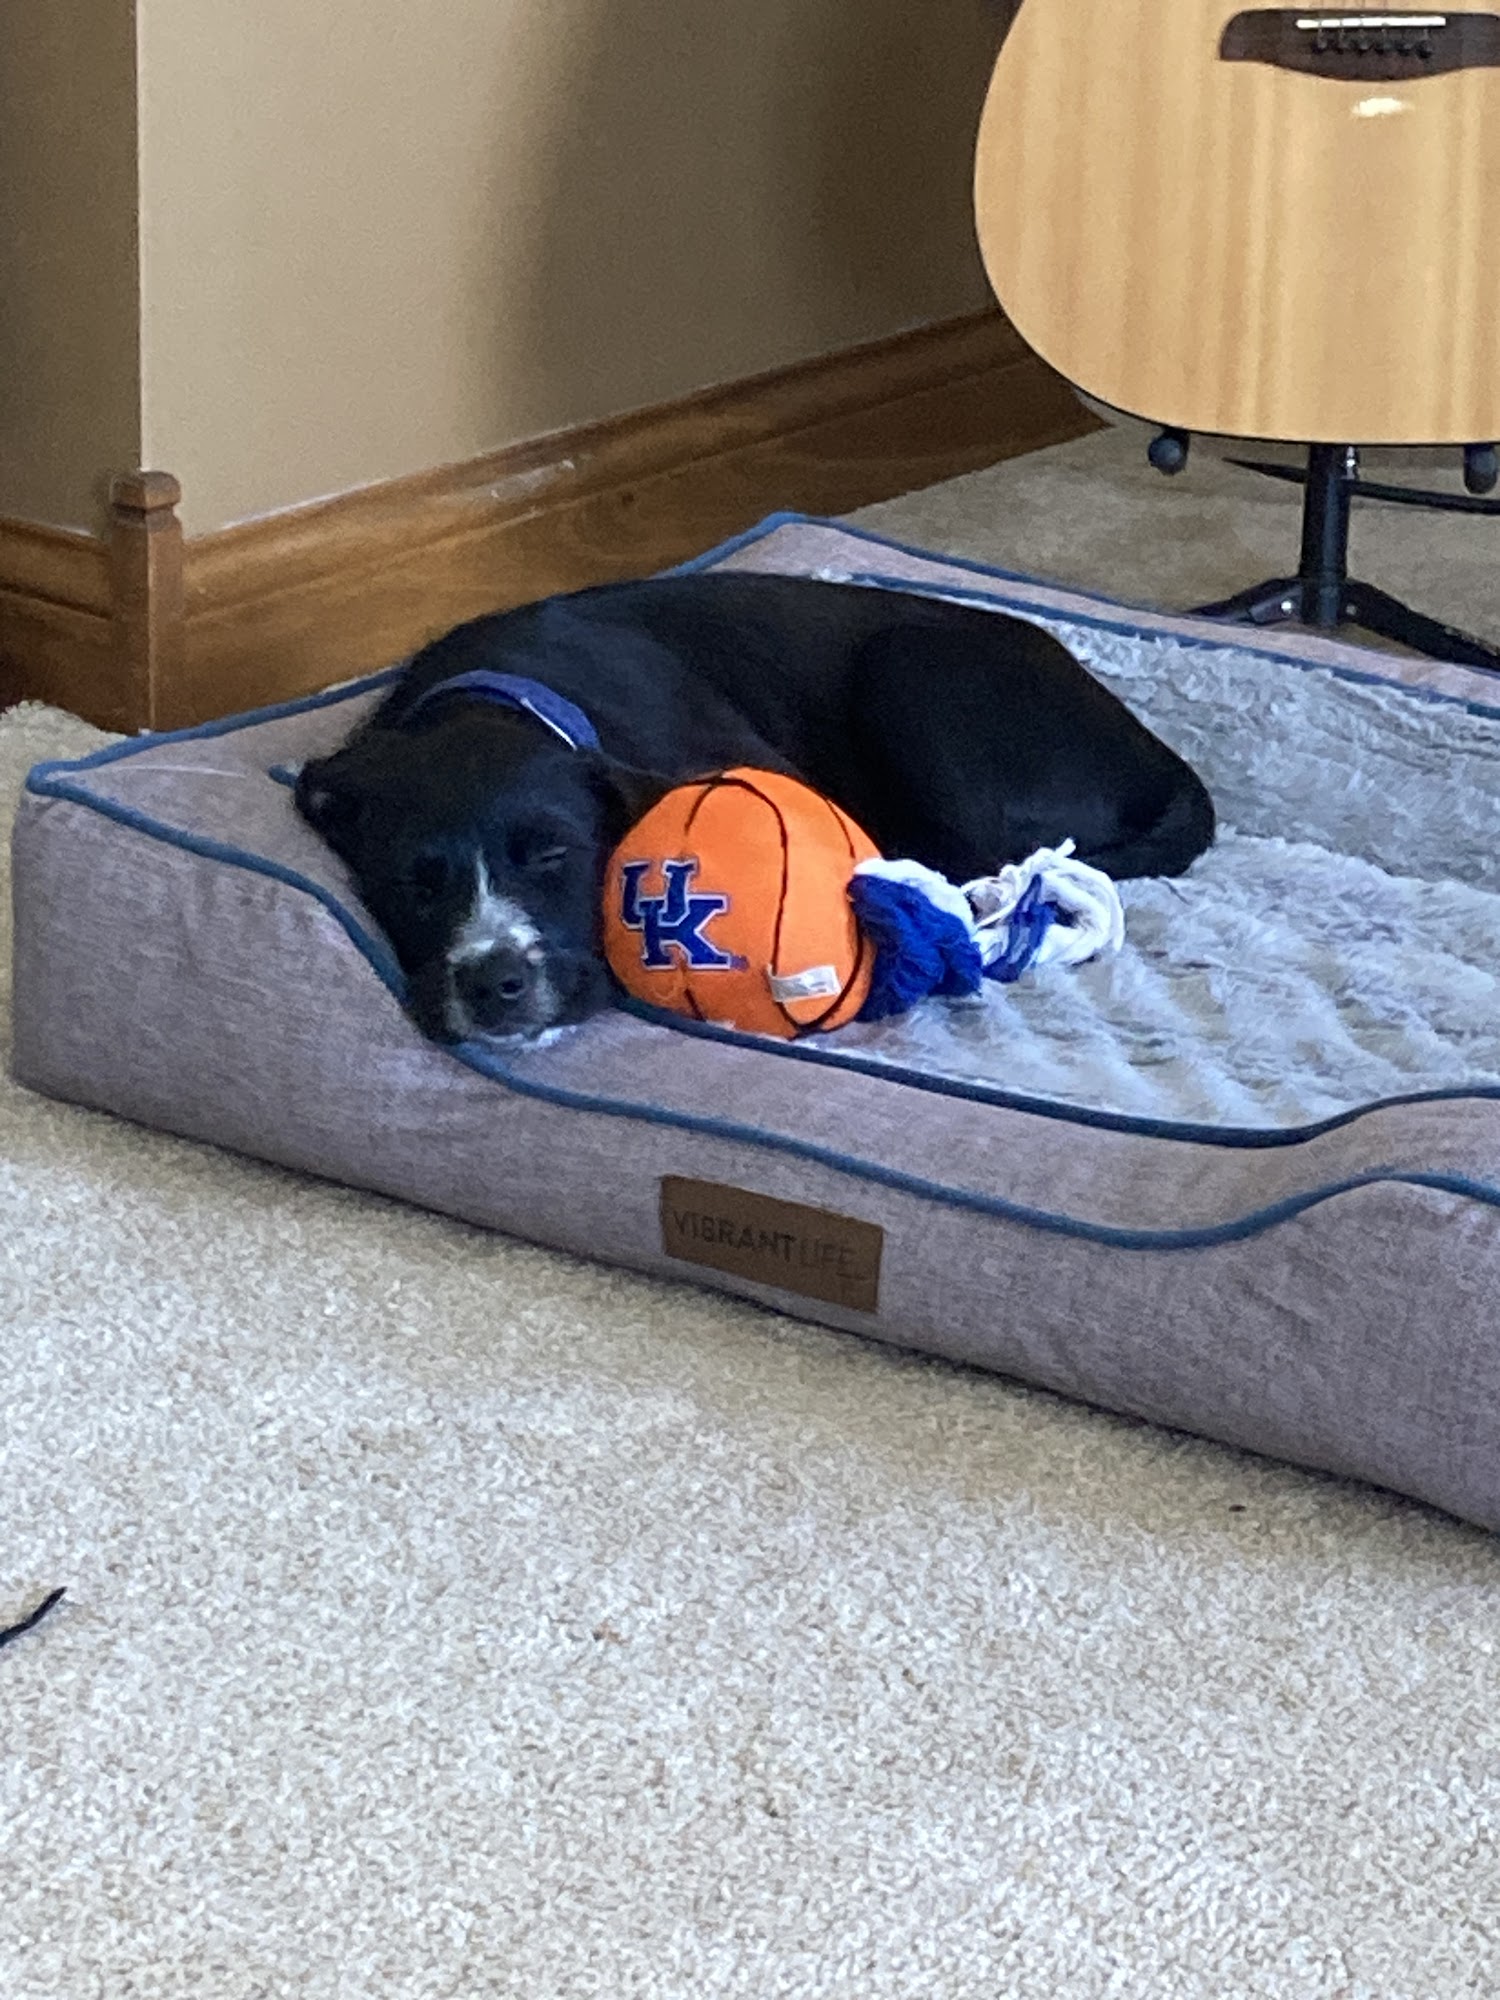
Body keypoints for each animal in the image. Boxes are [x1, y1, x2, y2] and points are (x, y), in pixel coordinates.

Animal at [295, 571, 1214, 1043]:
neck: (493, 700)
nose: (496, 984)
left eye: (553, 855)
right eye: (415, 885)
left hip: (907, 668)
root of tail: (1161, 759)